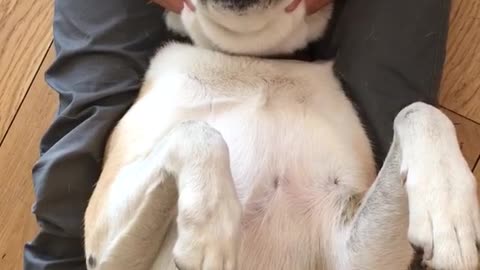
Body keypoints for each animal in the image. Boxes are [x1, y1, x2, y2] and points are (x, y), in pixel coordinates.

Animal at [82, 0, 480, 270]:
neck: (252, 60)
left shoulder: (350, 256)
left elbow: (419, 111)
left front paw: (449, 213)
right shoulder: (103, 251)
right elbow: (197, 130)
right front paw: (212, 230)